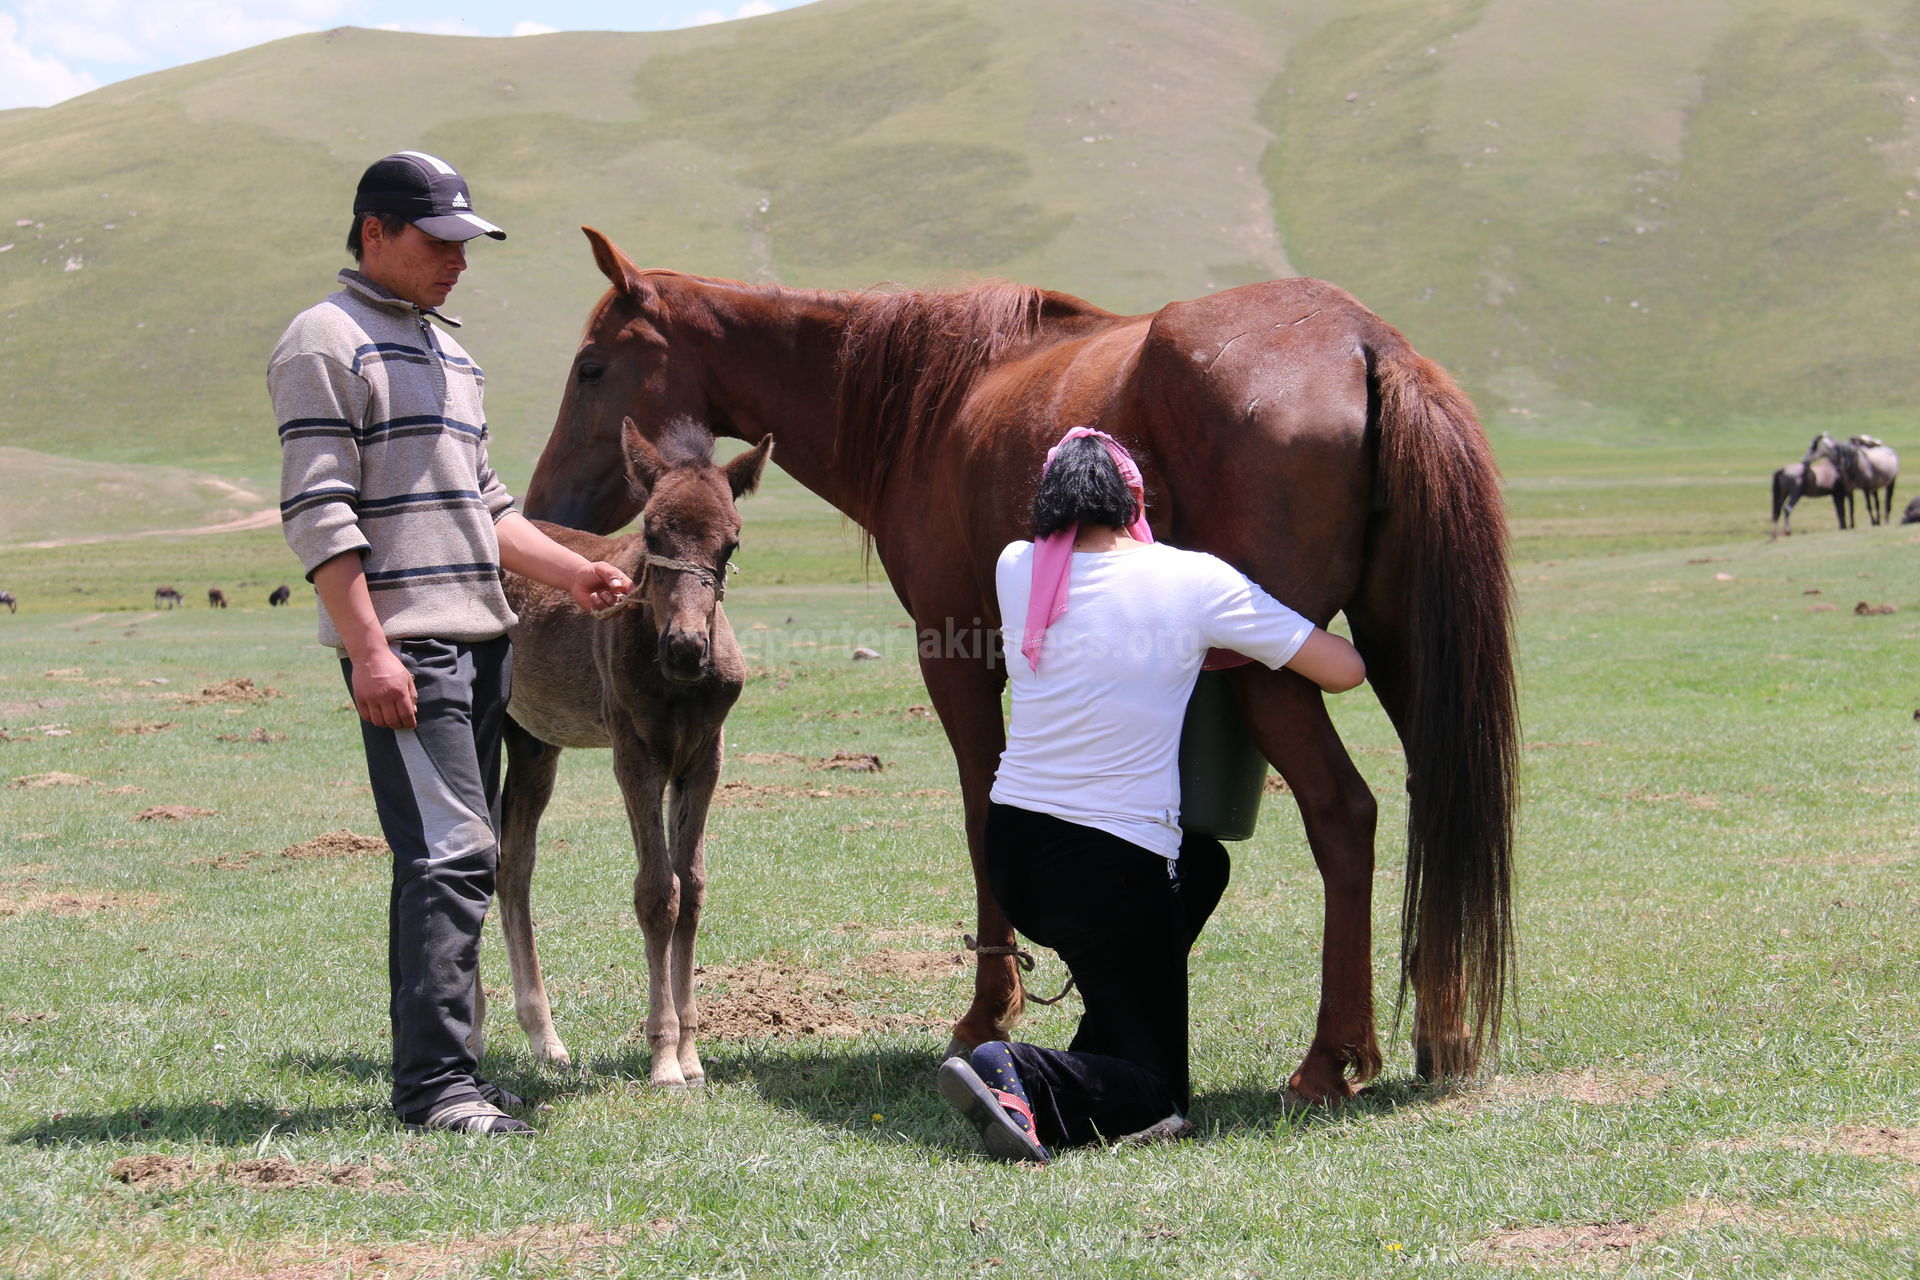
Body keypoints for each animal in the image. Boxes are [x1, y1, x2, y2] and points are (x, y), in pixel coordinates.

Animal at [487, 416, 771, 1090]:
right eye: (650, 533)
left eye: (731, 545)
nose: (686, 650)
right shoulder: (636, 755)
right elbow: (656, 893)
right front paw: (664, 1058)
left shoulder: (703, 758)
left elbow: (691, 890)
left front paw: (692, 1055)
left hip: (534, 745)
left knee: (514, 867)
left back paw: (545, 1040)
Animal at [522, 227, 1512, 1105]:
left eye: (591, 368)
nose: (538, 513)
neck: (925, 403)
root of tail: (1366, 342)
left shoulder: (956, 658)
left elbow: (980, 814)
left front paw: (984, 1015)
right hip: (1401, 651)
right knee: (1441, 798)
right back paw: (1441, 1034)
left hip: (1270, 672)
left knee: (1344, 815)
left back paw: (1329, 1060)